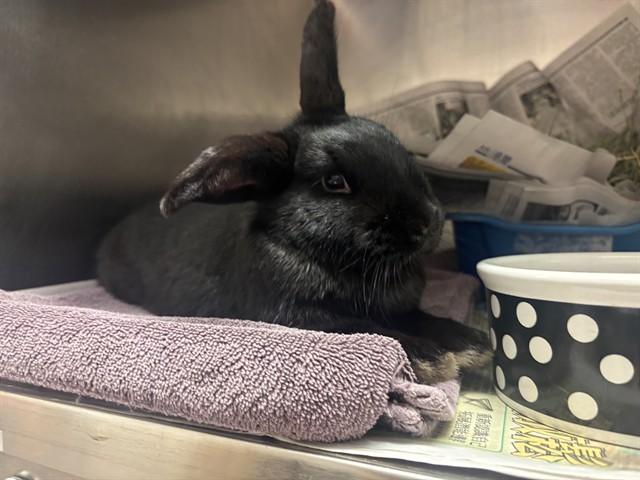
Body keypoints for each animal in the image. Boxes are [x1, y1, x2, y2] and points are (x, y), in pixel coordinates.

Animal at [97, 0, 491, 383]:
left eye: (397, 145)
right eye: (334, 182)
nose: (427, 223)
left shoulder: (403, 308)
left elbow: (420, 317)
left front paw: (474, 343)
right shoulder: (299, 316)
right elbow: (366, 327)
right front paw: (431, 357)